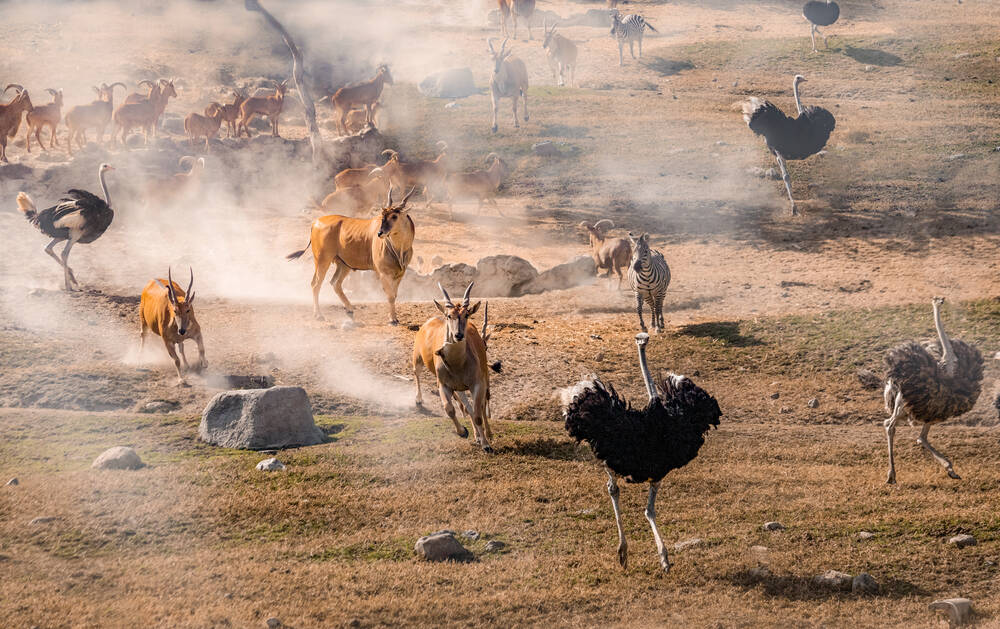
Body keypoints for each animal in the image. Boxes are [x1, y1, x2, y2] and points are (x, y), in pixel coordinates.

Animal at [286, 185, 418, 324]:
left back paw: (349, 308)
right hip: (322, 260)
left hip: (344, 265)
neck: (399, 249)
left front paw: (394, 317)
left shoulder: (400, 273)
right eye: (383, 215)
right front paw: (392, 319)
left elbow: (395, 294)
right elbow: (390, 296)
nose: (380, 233)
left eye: (394, 216)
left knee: (335, 283)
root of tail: (315, 223)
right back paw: (318, 315)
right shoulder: (383, 273)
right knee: (316, 284)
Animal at [412, 284, 494, 452]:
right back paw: (418, 399)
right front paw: (463, 432)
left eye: (466, 314)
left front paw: (485, 443)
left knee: (477, 408)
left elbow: (477, 413)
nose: (458, 335)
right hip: (417, 359)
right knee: (416, 372)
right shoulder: (444, 385)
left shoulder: (476, 384)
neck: (457, 364)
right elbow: (449, 409)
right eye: (450, 316)